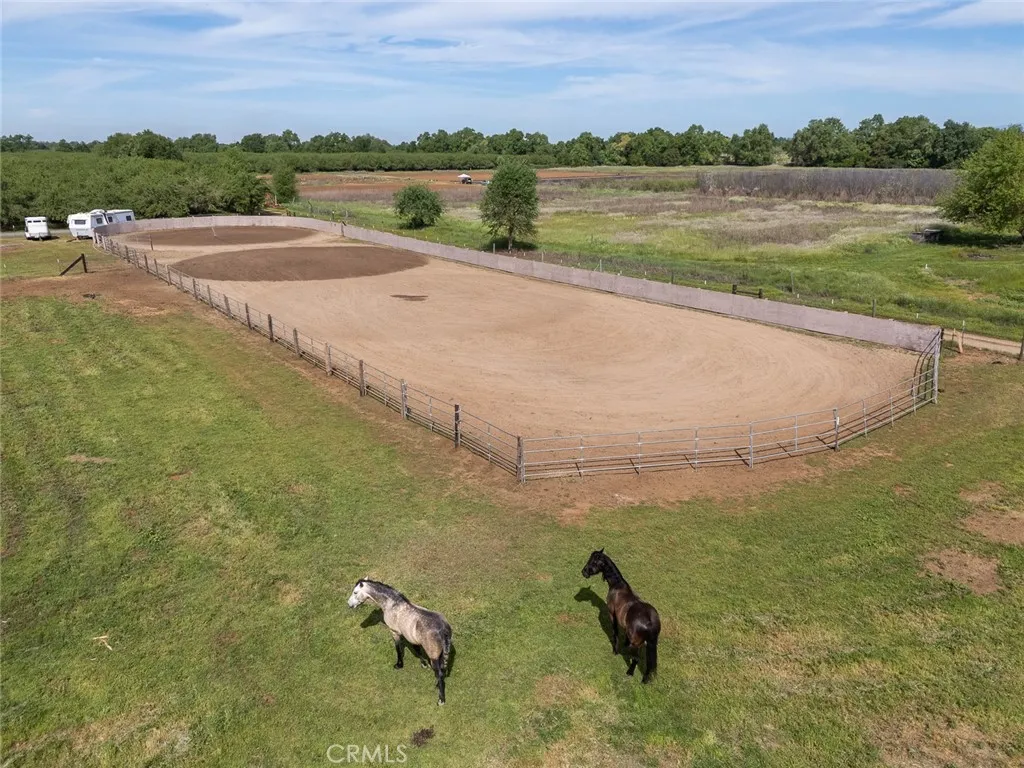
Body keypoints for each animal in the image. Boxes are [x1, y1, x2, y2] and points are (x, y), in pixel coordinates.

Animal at [581, 549, 660, 683]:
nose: (584, 572)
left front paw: (616, 650)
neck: (617, 586)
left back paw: (629, 673)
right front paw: (625, 644)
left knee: (636, 659)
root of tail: (650, 621)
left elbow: (615, 633)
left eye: (593, 561)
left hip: (637, 645)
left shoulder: (612, 615)